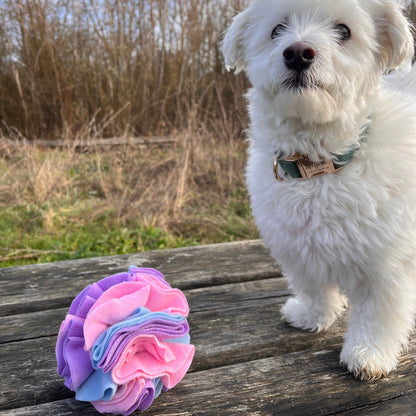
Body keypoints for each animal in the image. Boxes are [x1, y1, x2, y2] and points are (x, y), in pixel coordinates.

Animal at [224, 0, 416, 378]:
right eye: (277, 29)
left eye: (344, 31)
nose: (298, 52)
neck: (317, 165)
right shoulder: (298, 248)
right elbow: (314, 288)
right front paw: (311, 316)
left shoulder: (389, 263)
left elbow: (378, 312)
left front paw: (368, 353)